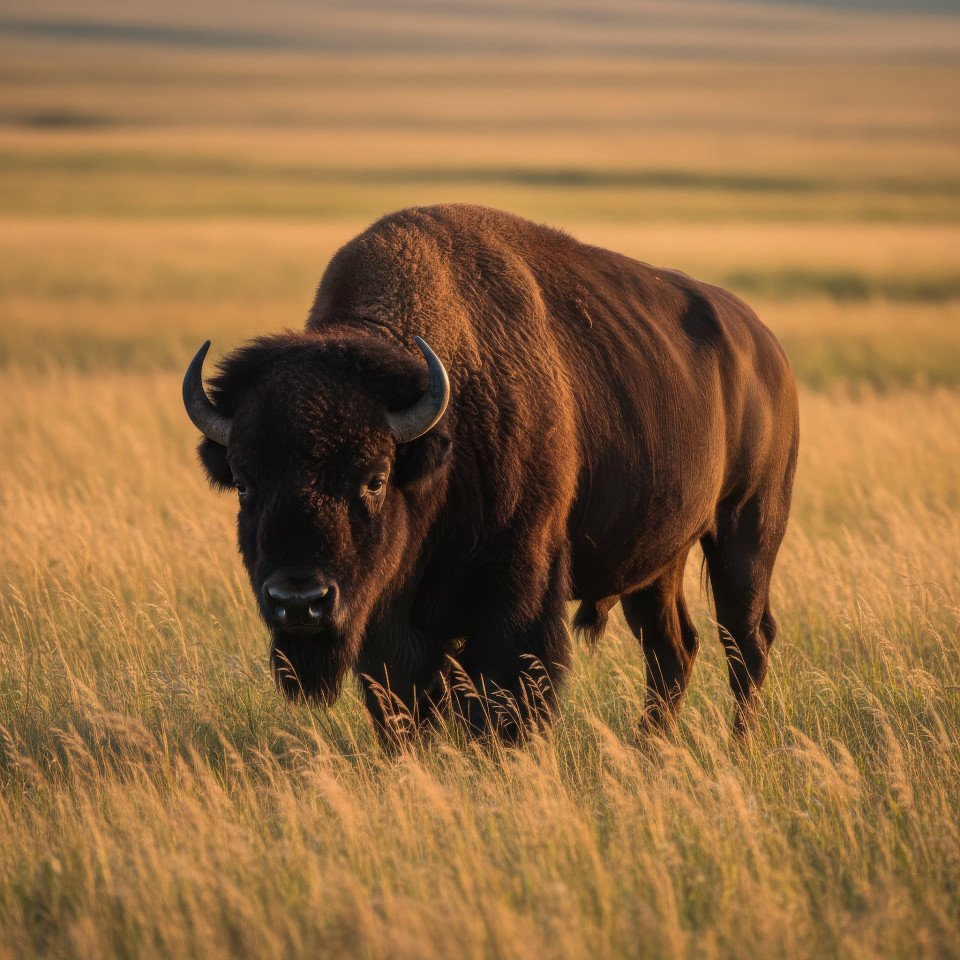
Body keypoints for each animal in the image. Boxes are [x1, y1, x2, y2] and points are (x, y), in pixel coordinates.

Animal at [183, 204, 798, 742]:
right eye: (244, 483)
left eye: (375, 478)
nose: (299, 601)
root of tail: (767, 349)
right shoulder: (392, 621)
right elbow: (408, 702)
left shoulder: (515, 589)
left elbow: (506, 696)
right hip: (656, 563)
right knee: (673, 648)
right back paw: (652, 749)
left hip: (748, 532)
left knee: (746, 641)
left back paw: (739, 746)